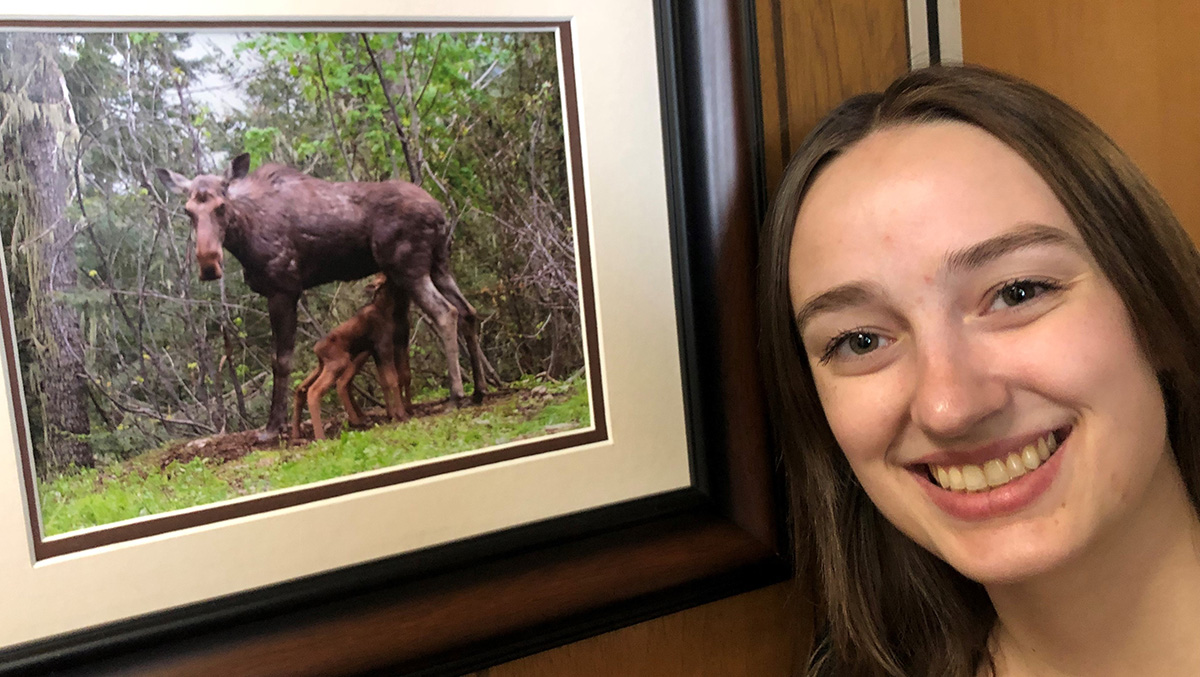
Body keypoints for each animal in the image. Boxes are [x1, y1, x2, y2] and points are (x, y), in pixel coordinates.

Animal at [292, 272, 415, 441]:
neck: (393, 309)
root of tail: (316, 349)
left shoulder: (398, 345)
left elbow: (402, 376)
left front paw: (403, 410)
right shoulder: (384, 347)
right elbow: (392, 379)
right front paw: (401, 414)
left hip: (324, 365)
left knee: (301, 388)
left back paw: (297, 433)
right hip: (341, 363)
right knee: (319, 389)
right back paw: (326, 434)